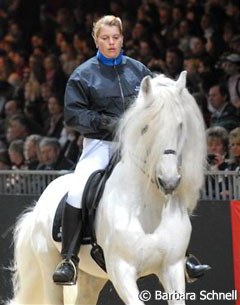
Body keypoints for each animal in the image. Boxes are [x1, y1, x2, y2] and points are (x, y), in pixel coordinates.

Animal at [7, 70, 206, 302]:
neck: (149, 211)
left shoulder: (172, 268)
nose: (169, 181)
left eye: (180, 125)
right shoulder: (121, 270)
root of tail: (39, 205)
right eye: (145, 127)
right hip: (49, 268)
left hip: (92, 277)